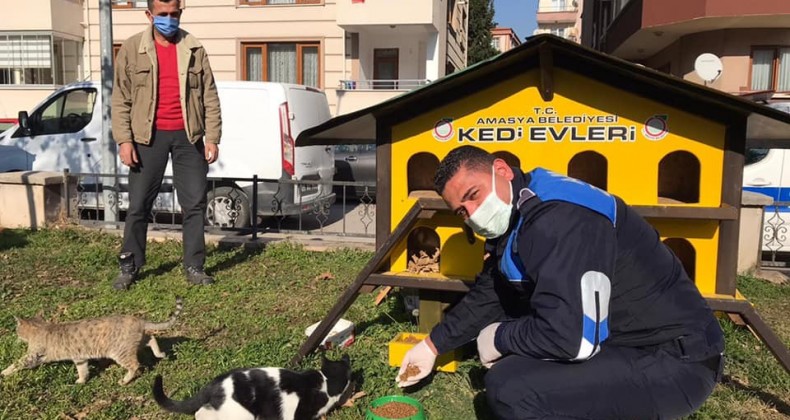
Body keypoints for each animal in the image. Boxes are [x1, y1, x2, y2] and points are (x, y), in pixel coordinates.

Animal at [0, 296, 183, 384]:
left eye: (17, 329)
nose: (15, 334)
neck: (41, 327)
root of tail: (138, 320)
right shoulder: (80, 358)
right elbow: (83, 371)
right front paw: (81, 381)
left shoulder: (33, 356)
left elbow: (16, 363)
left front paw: (4, 372)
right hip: (137, 340)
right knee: (152, 337)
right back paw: (160, 354)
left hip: (120, 352)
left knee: (135, 365)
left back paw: (124, 381)